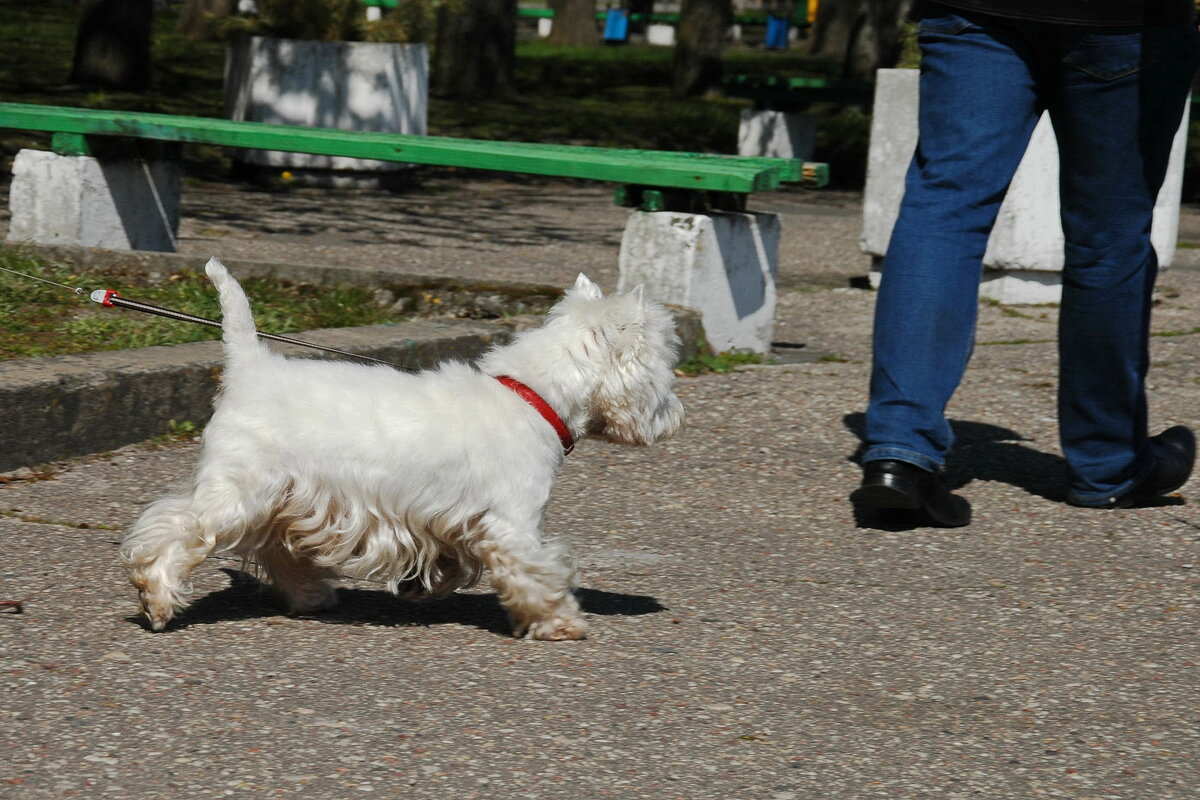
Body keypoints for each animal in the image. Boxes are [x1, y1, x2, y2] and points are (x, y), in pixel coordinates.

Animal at [124, 260, 686, 642]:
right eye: (667, 363)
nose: (678, 417)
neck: (534, 395)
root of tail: (249, 366)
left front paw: (425, 584)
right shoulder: (513, 521)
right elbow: (536, 571)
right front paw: (562, 622)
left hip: (287, 495)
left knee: (278, 547)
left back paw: (311, 596)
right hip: (242, 487)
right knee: (178, 527)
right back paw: (156, 598)